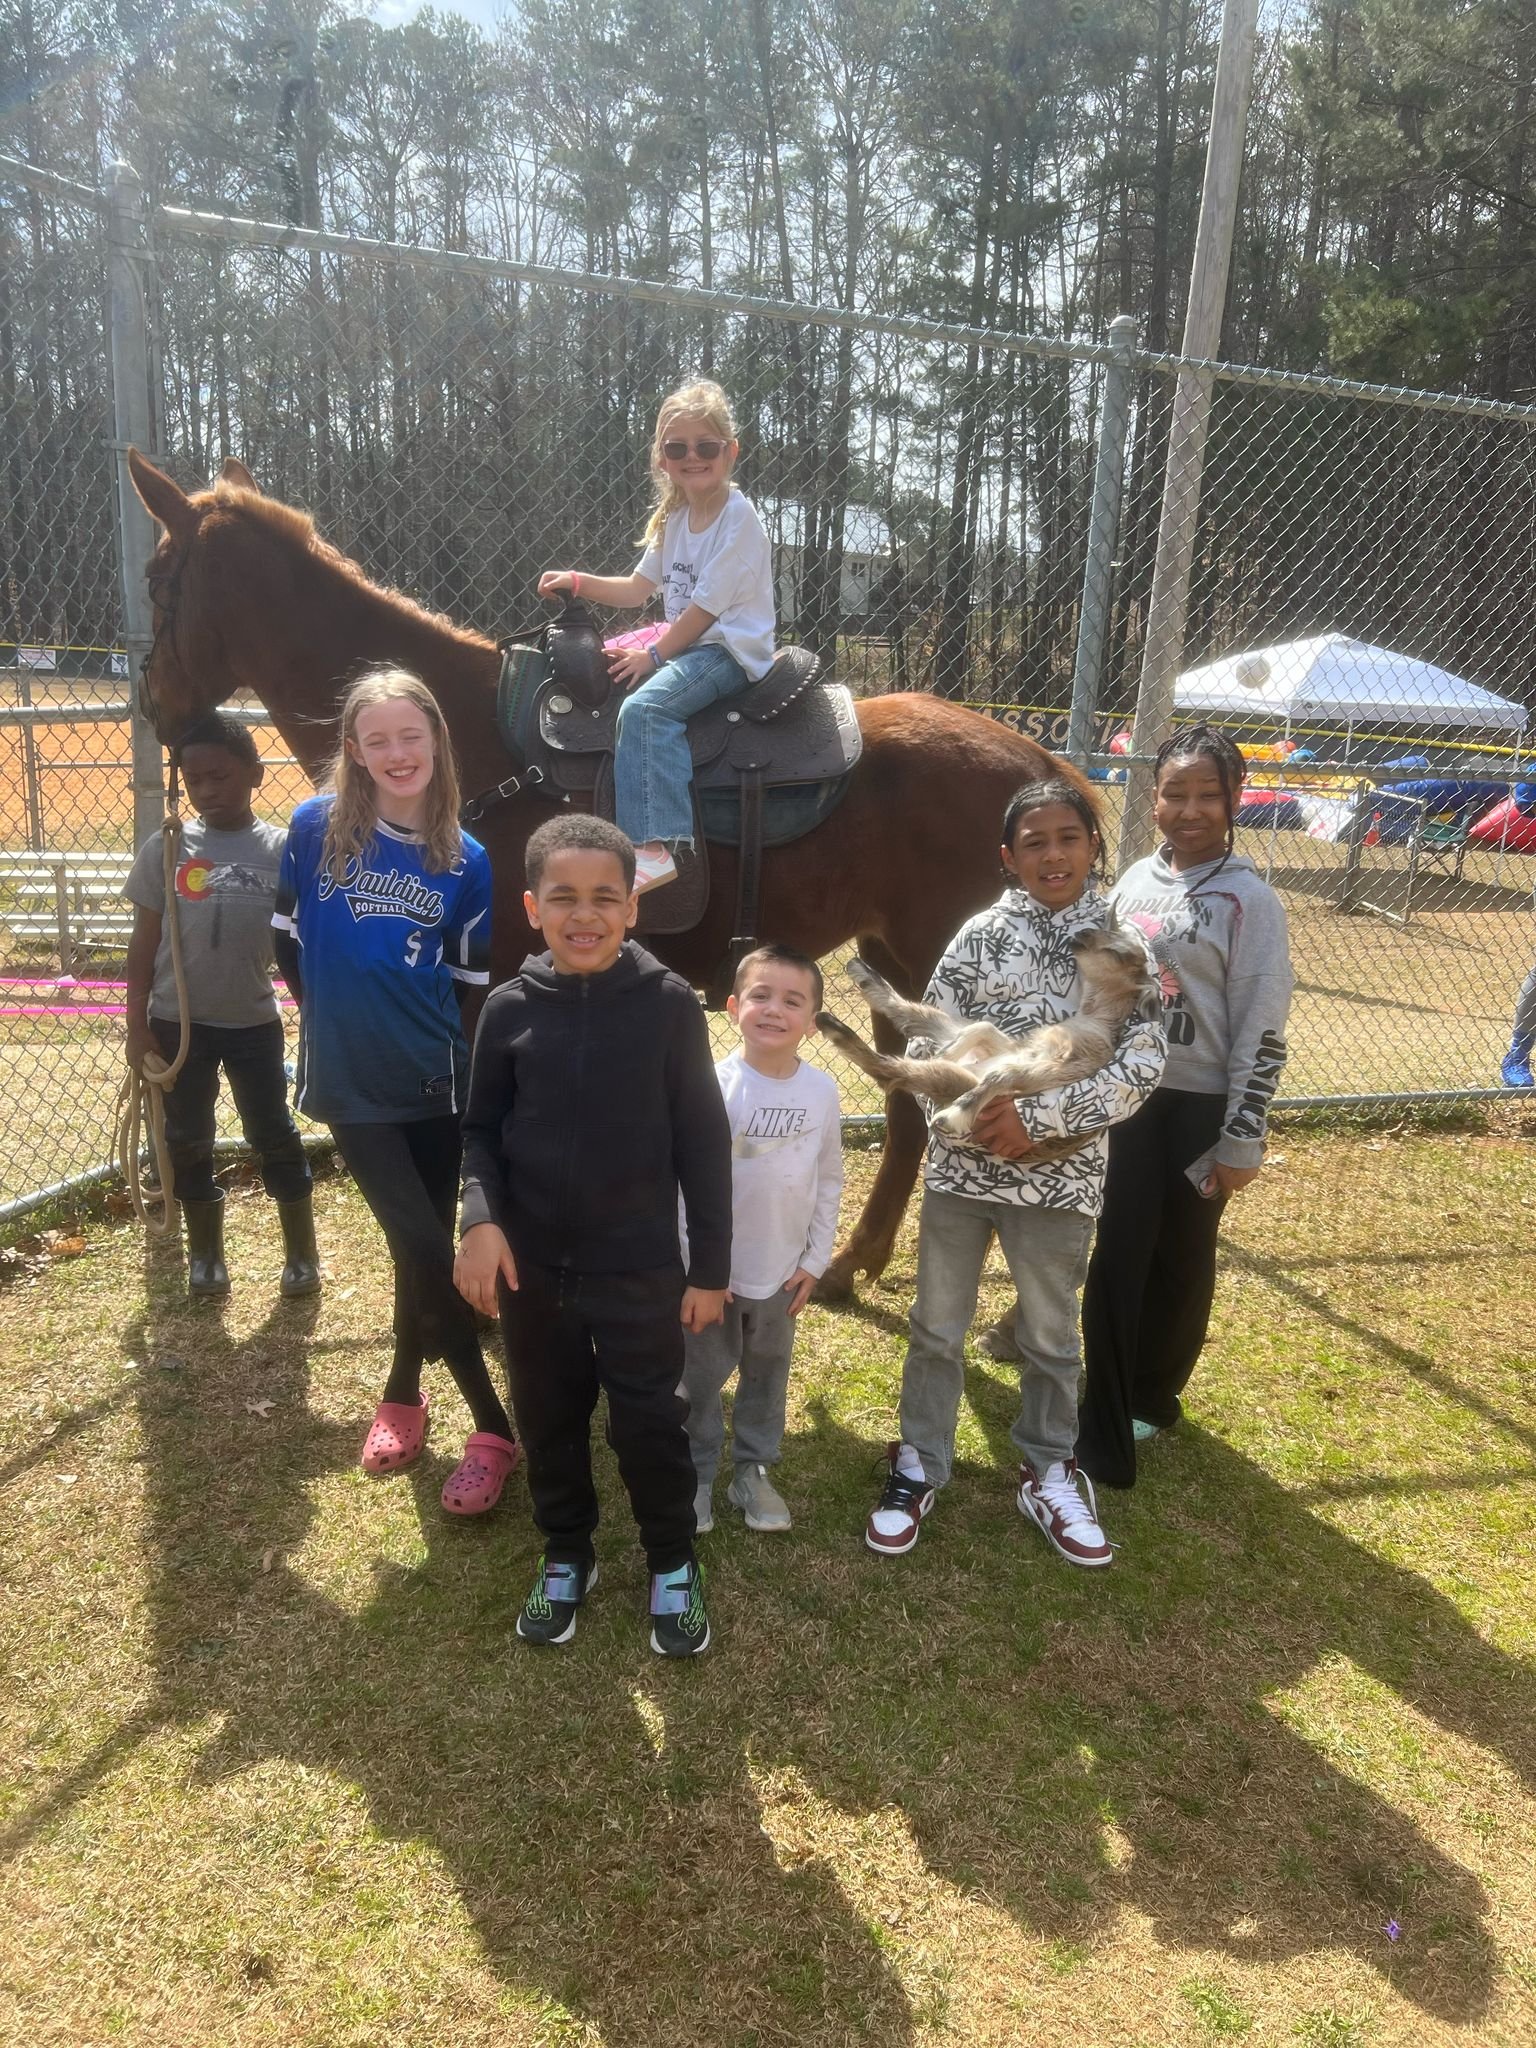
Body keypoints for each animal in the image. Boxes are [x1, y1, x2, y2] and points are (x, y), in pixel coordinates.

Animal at [127, 448, 1086, 1296]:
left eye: (160, 580)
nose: (156, 706)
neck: (459, 739)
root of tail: (1038, 762)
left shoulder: (482, 992)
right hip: (891, 965)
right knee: (903, 1110)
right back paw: (854, 1265)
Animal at [816, 921, 1157, 1163]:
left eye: (1119, 954)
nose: (1083, 933)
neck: (1094, 1021)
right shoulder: (1019, 1048)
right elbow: (984, 1027)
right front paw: (946, 1052)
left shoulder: (1064, 1067)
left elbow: (1003, 1075)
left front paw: (954, 1115)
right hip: (952, 1042)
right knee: (914, 1015)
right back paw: (858, 979)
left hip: (952, 1079)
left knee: (890, 1072)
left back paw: (835, 1027)